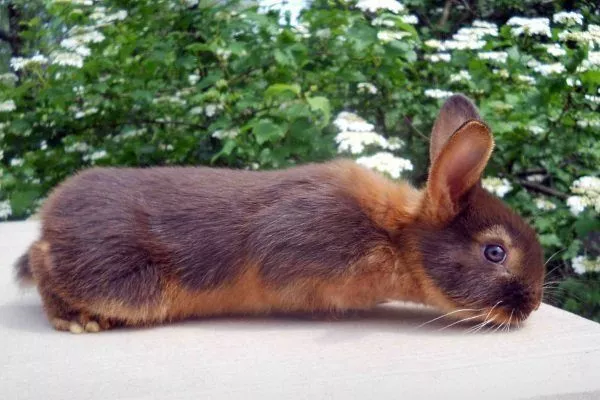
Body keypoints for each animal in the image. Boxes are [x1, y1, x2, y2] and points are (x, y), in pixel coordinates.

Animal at [16, 94, 548, 332]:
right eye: (495, 252)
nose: (533, 305)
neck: (395, 236)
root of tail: (51, 218)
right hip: (125, 284)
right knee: (44, 266)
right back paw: (77, 320)